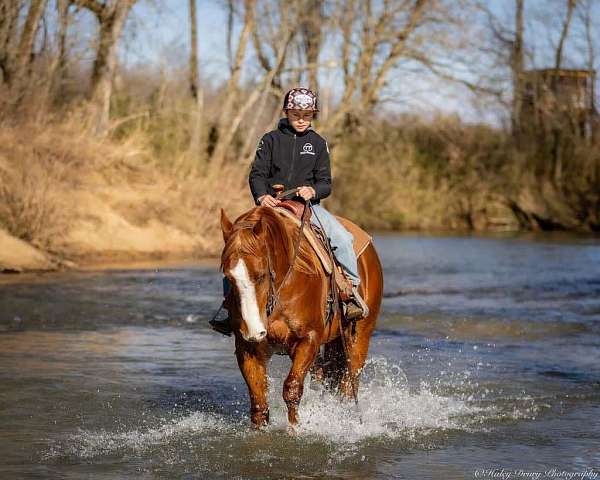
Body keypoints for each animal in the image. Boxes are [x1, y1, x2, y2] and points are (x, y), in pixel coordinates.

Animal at [220, 204, 384, 426]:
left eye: (261, 275)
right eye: (229, 277)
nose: (253, 330)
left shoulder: (309, 340)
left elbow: (292, 390)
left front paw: (295, 429)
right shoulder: (247, 347)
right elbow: (259, 404)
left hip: (359, 339)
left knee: (348, 386)